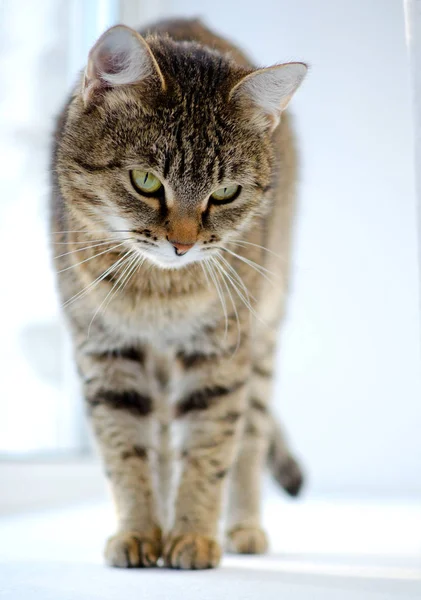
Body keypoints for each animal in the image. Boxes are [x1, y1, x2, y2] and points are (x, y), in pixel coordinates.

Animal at [50, 18, 306, 568]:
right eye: (146, 181)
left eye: (225, 193)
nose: (183, 245)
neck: (158, 295)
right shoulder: (105, 348)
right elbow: (126, 451)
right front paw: (139, 532)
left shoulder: (219, 351)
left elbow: (211, 449)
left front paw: (193, 536)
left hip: (263, 335)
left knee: (250, 437)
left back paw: (243, 527)